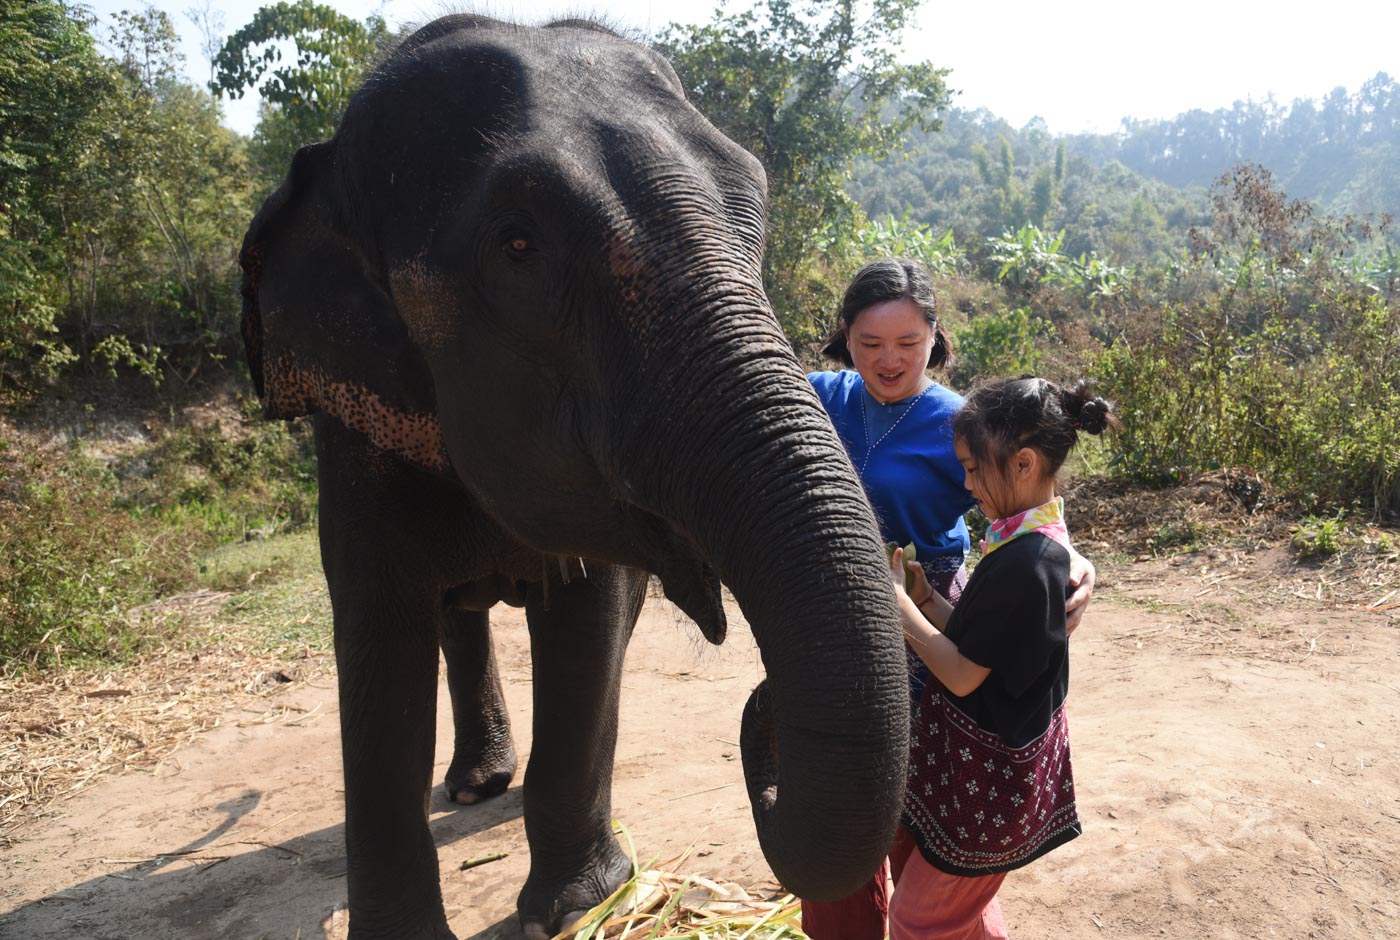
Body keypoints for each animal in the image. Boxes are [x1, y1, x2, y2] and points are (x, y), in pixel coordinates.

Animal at [239, 14, 909, 939]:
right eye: (517, 245)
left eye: (755, 204)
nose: (764, 711)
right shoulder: (356, 439)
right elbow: (378, 651)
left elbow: (589, 627)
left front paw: (578, 905)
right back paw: (475, 786)